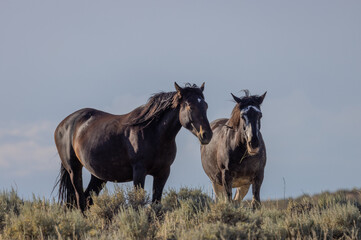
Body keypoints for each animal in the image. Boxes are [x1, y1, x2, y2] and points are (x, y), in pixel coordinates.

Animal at [53, 82, 211, 210]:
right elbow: (138, 203)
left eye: (205, 105)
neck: (153, 133)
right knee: (80, 201)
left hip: (98, 176)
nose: (207, 135)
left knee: (87, 199)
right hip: (74, 170)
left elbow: (156, 204)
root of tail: (63, 124)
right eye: (190, 106)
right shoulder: (139, 172)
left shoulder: (163, 173)